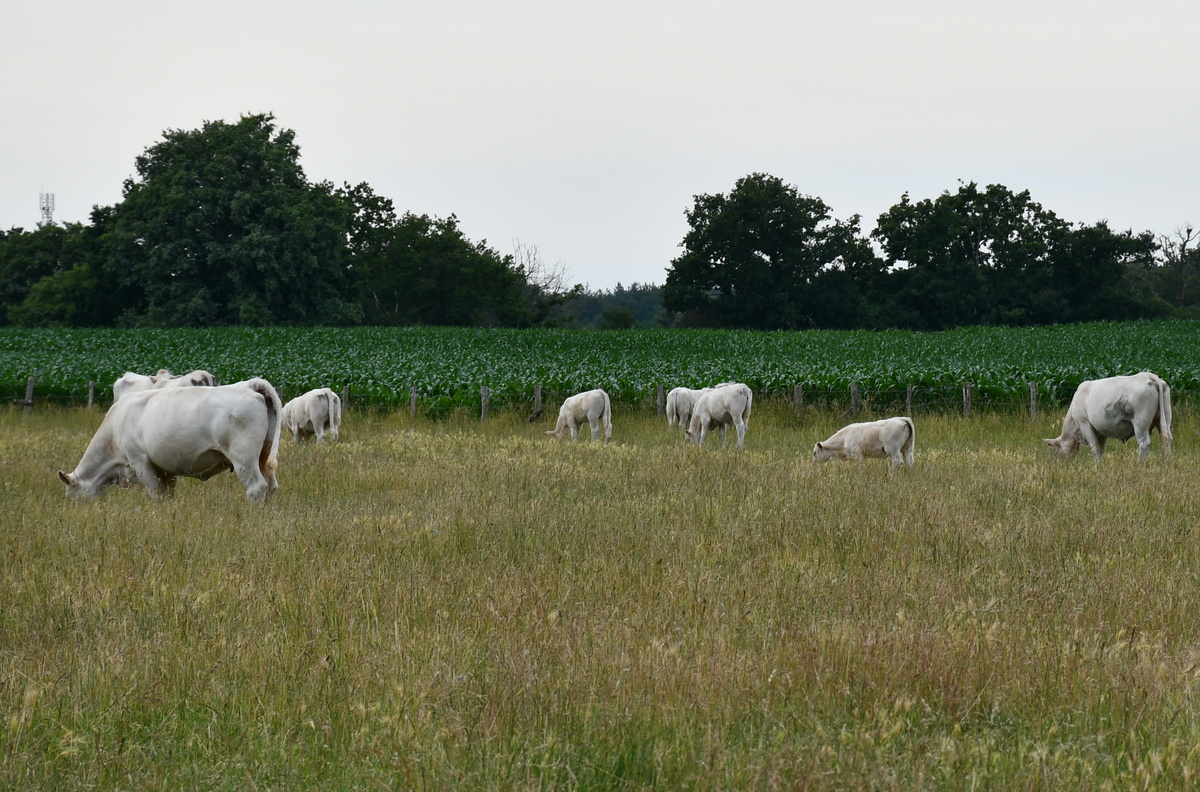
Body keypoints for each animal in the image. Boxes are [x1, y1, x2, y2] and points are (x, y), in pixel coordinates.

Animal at [59, 376, 282, 501]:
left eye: (72, 497)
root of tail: (249, 385)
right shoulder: (167, 469)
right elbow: (168, 495)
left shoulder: (140, 463)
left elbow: (156, 494)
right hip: (263, 456)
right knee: (271, 486)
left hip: (244, 458)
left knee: (257, 488)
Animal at [1041, 372, 1171, 460]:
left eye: (1057, 450)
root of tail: (1147, 375)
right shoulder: (1102, 432)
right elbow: (1101, 449)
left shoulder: (1085, 424)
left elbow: (1095, 448)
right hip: (1164, 419)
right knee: (1166, 439)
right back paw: (1166, 461)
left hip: (1140, 424)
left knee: (1144, 443)